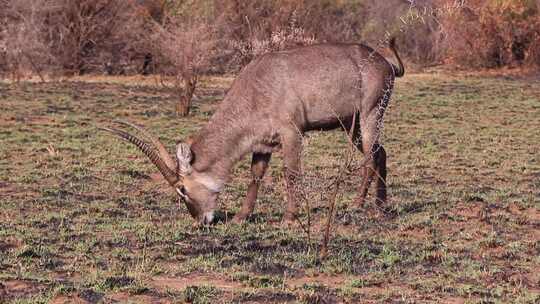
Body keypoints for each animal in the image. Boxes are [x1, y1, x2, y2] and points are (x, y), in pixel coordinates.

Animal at [103, 38, 402, 224]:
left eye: (182, 190)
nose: (202, 221)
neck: (256, 87)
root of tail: (384, 63)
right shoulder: (262, 144)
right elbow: (255, 175)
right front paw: (241, 216)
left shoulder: (292, 133)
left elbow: (291, 173)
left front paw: (289, 217)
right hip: (351, 125)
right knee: (380, 152)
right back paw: (380, 205)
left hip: (369, 115)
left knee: (370, 157)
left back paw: (358, 204)